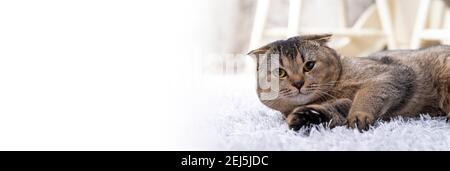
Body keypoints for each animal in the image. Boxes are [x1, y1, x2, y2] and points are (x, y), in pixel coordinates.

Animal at [248, 34, 450, 131]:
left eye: (309, 65)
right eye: (280, 72)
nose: (298, 83)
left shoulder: (392, 75)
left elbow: (368, 94)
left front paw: (360, 114)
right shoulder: (340, 104)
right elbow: (334, 111)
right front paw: (306, 118)